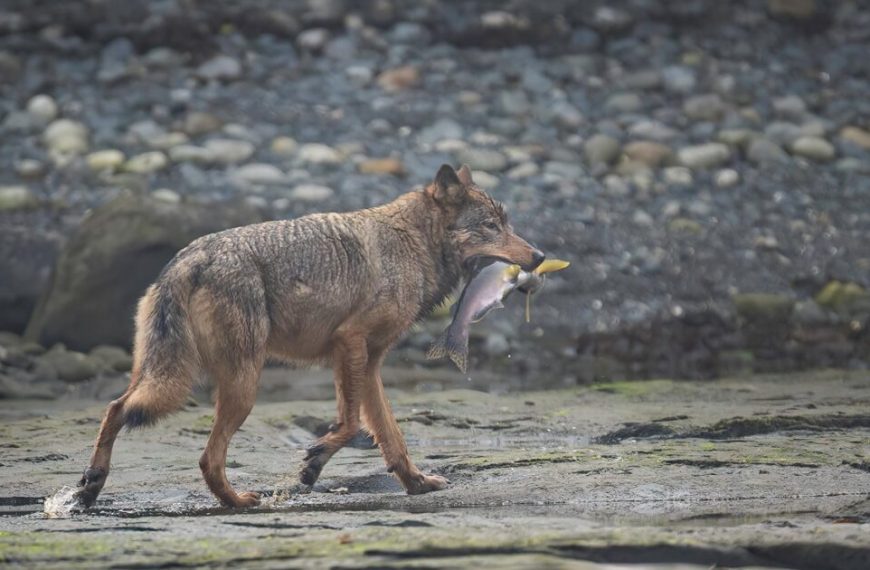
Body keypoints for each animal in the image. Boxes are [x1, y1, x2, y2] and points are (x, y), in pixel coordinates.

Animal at [75, 164, 544, 508]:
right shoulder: (349, 343)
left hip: (168, 376)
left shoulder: (371, 363)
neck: (412, 245)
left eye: (507, 224)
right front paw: (313, 464)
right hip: (238, 386)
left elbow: (390, 437)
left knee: (116, 408)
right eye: (491, 226)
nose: (539, 255)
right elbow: (350, 424)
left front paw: (416, 483)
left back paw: (90, 486)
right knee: (207, 456)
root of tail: (189, 259)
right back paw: (239, 502)